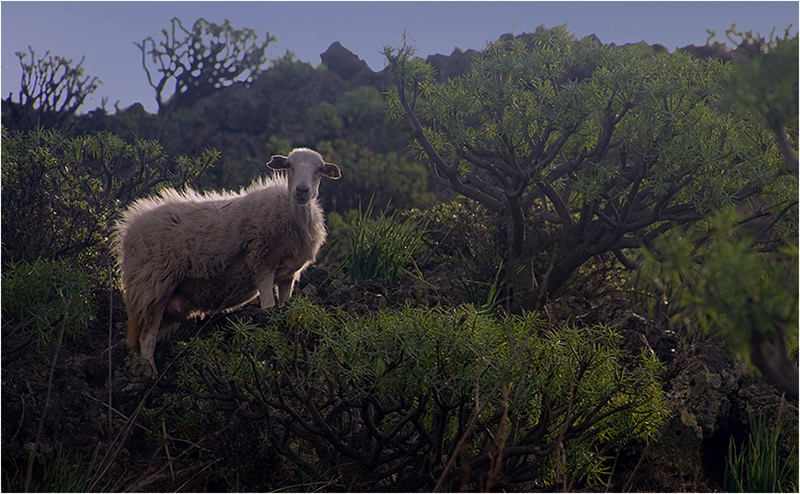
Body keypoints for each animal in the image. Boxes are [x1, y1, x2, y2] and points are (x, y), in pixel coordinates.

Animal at [111, 149, 340, 376]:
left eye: (320, 170)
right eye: (288, 166)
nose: (302, 191)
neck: (292, 216)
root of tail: (129, 227)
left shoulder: (288, 275)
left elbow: (284, 305)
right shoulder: (262, 264)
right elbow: (268, 306)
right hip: (152, 286)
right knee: (146, 339)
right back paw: (150, 373)